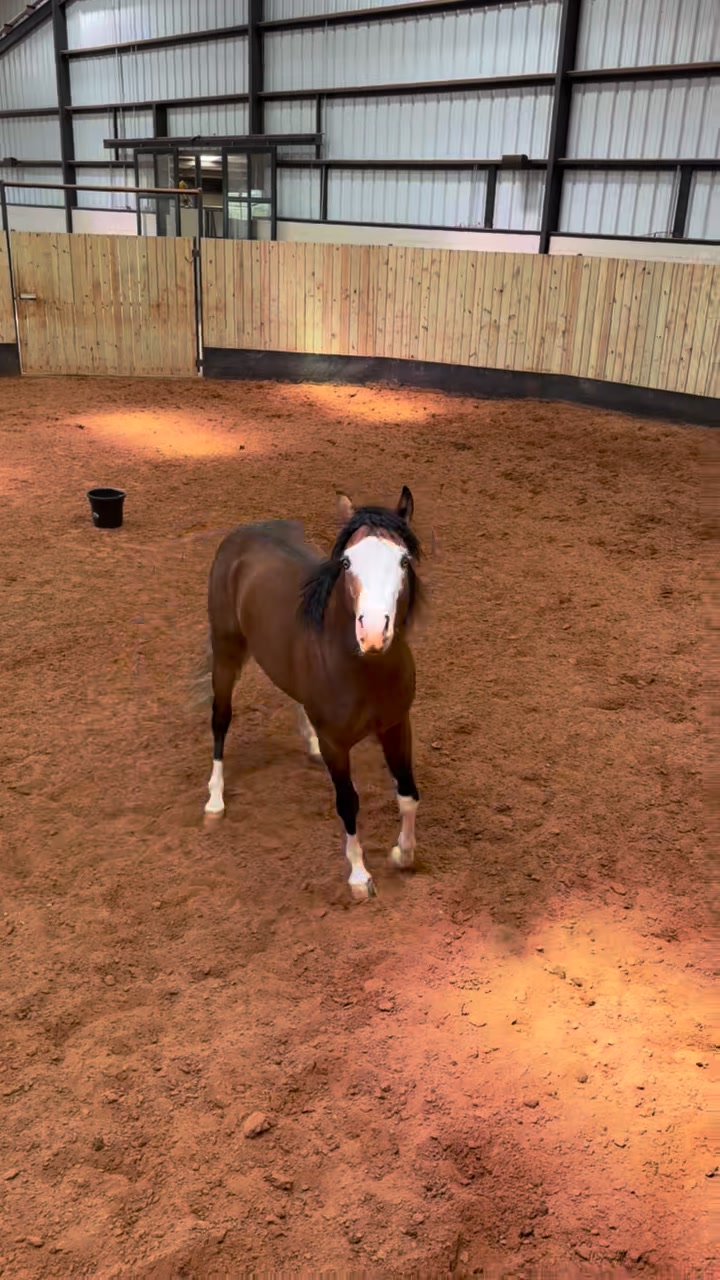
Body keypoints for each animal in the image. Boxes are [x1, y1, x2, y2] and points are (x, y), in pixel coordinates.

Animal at [203, 487, 423, 901]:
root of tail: (243, 533)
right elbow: (348, 802)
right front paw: (359, 876)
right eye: (348, 561)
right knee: (220, 719)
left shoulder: (396, 725)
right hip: (226, 652)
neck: (364, 669)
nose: (373, 633)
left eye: (403, 560)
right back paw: (214, 800)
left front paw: (403, 855)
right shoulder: (338, 743)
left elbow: (407, 794)